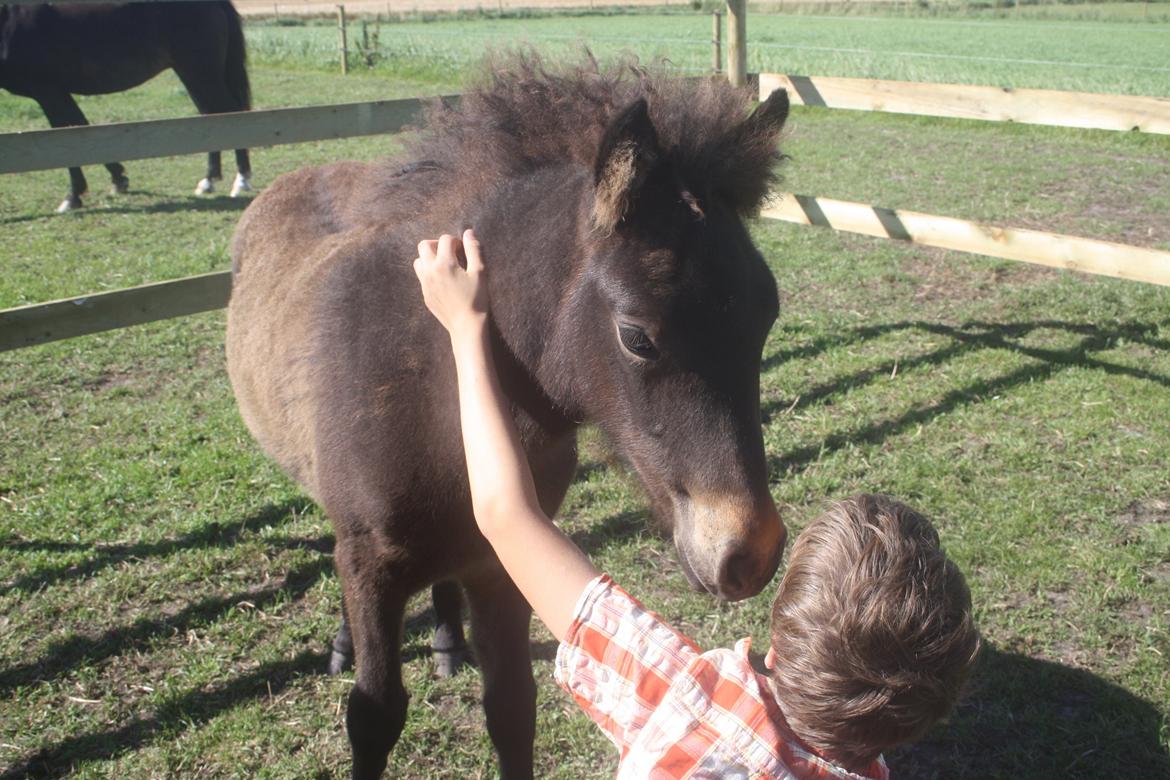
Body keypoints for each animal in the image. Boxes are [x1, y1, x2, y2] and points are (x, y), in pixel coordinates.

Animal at [0, 1, 253, 211]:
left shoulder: (49, 92)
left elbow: (66, 133)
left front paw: (73, 197)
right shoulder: (57, 93)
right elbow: (81, 128)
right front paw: (119, 180)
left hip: (200, 73)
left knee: (230, 114)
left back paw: (240, 180)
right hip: (194, 75)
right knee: (212, 116)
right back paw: (209, 181)